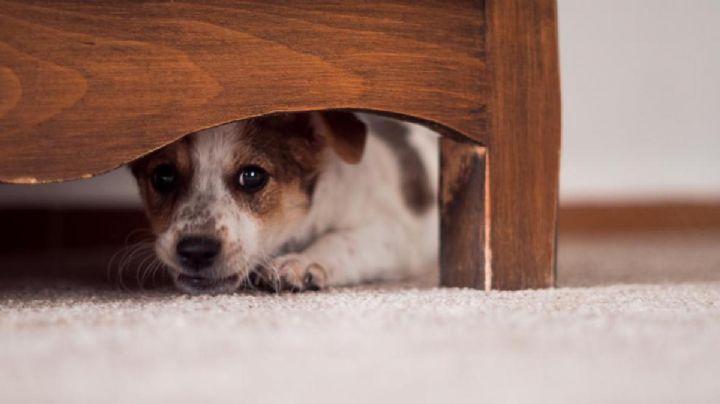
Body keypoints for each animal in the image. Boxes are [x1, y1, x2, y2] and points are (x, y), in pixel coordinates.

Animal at [132, 111, 442, 294]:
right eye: (163, 176)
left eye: (253, 176)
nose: (196, 250)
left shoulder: (393, 232)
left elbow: (342, 239)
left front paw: (301, 262)